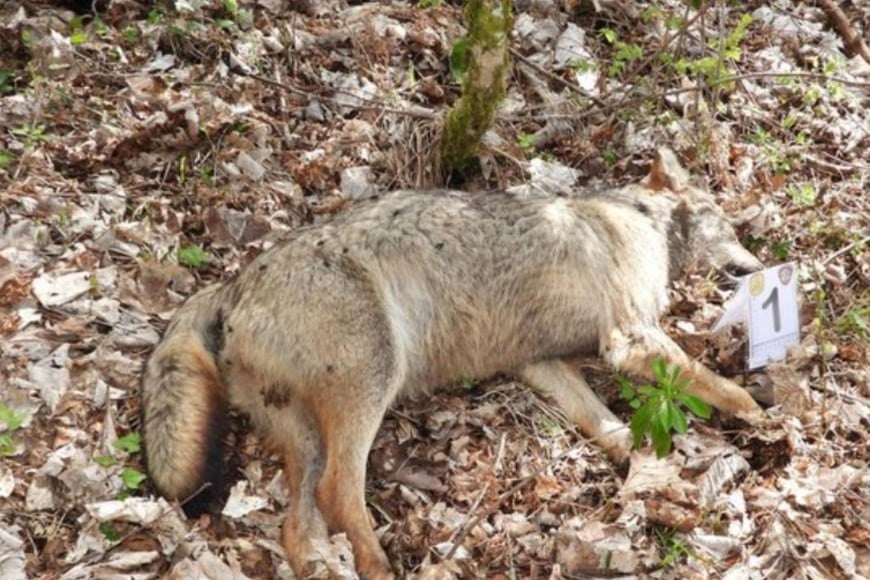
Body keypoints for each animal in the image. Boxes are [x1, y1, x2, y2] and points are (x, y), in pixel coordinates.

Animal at [141, 148, 764, 579]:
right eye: (731, 226)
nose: (758, 267)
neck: (640, 218)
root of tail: (231, 283)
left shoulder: (540, 363)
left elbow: (607, 425)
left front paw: (646, 471)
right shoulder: (630, 338)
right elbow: (719, 386)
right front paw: (765, 419)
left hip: (307, 431)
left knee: (300, 526)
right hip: (374, 379)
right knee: (339, 492)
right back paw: (379, 567)